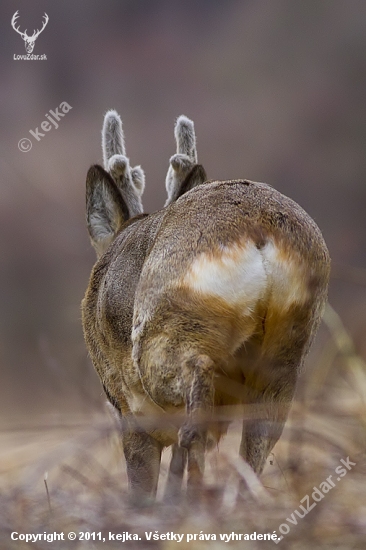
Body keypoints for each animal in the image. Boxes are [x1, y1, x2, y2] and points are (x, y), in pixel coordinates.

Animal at [81, 111, 330, 504]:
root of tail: (259, 227)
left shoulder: (130, 410)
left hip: (165, 335)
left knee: (197, 397)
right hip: (287, 351)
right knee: (258, 436)